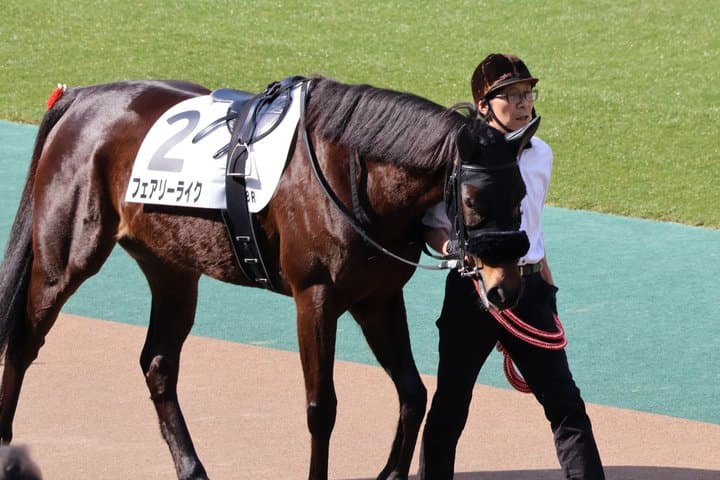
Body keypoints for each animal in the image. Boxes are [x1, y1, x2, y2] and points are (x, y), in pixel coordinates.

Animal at [0, 76, 536, 479]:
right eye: (472, 201)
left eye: (522, 195)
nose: (505, 287)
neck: (353, 175)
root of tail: (82, 97)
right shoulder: (315, 298)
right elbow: (322, 409)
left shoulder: (377, 299)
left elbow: (413, 393)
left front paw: (390, 473)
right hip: (65, 258)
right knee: (23, 342)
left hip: (171, 268)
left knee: (157, 362)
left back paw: (192, 467)